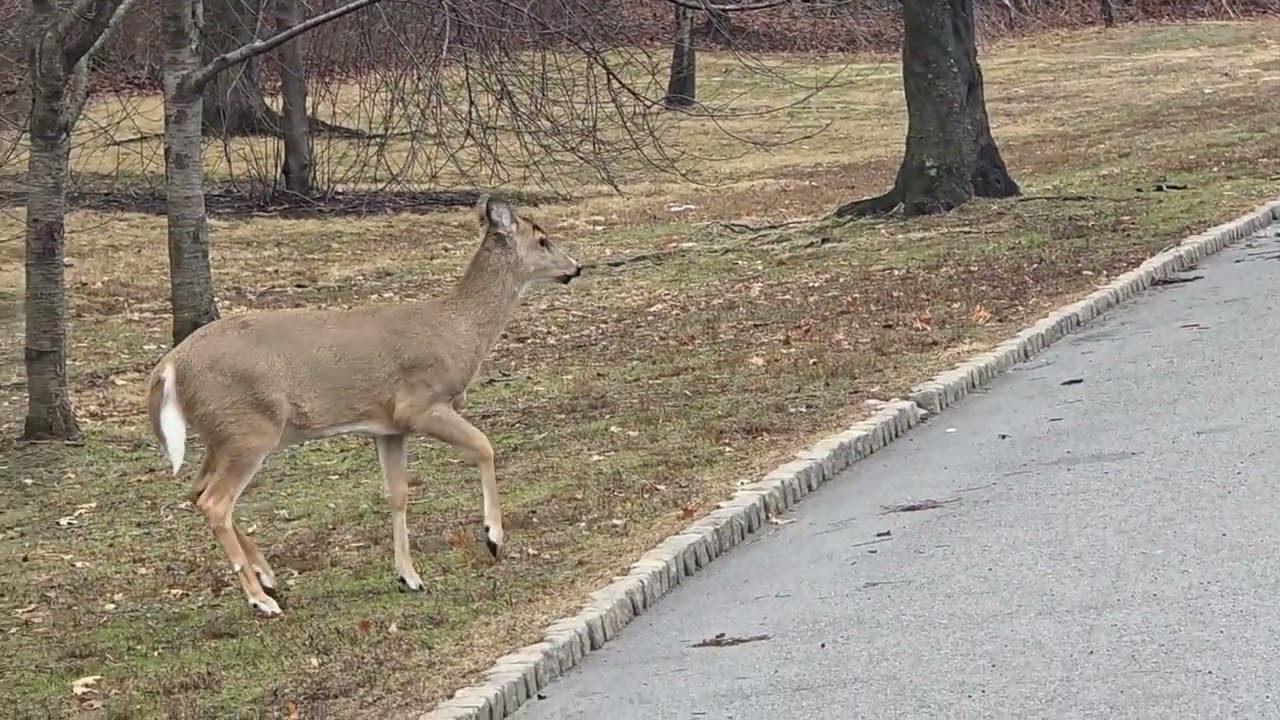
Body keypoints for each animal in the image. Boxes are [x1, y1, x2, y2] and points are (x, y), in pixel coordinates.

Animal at [143, 196, 582, 617]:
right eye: (542, 240)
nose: (576, 267)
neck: (459, 329)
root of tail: (171, 365)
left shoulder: (388, 427)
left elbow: (397, 493)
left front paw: (409, 577)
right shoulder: (419, 404)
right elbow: (484, 446)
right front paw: (493, 538)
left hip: (222, 434)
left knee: (197, 491)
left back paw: (267, 576)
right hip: (249, 429)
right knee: (216, 503)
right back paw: (260, 600)